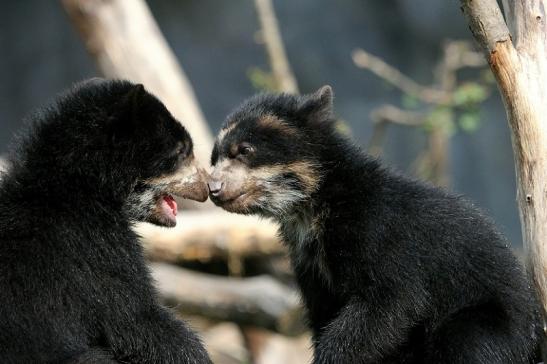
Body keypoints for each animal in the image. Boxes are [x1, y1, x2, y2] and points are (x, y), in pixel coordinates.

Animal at [208, 86, 540, 364]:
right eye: (215, 157)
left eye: (244, 150)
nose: (213, 188)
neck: (311, 211)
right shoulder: (309, 265)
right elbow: (325, 314)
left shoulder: (377, 232)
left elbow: (389, 302)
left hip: (490, 322)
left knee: (467, 342)